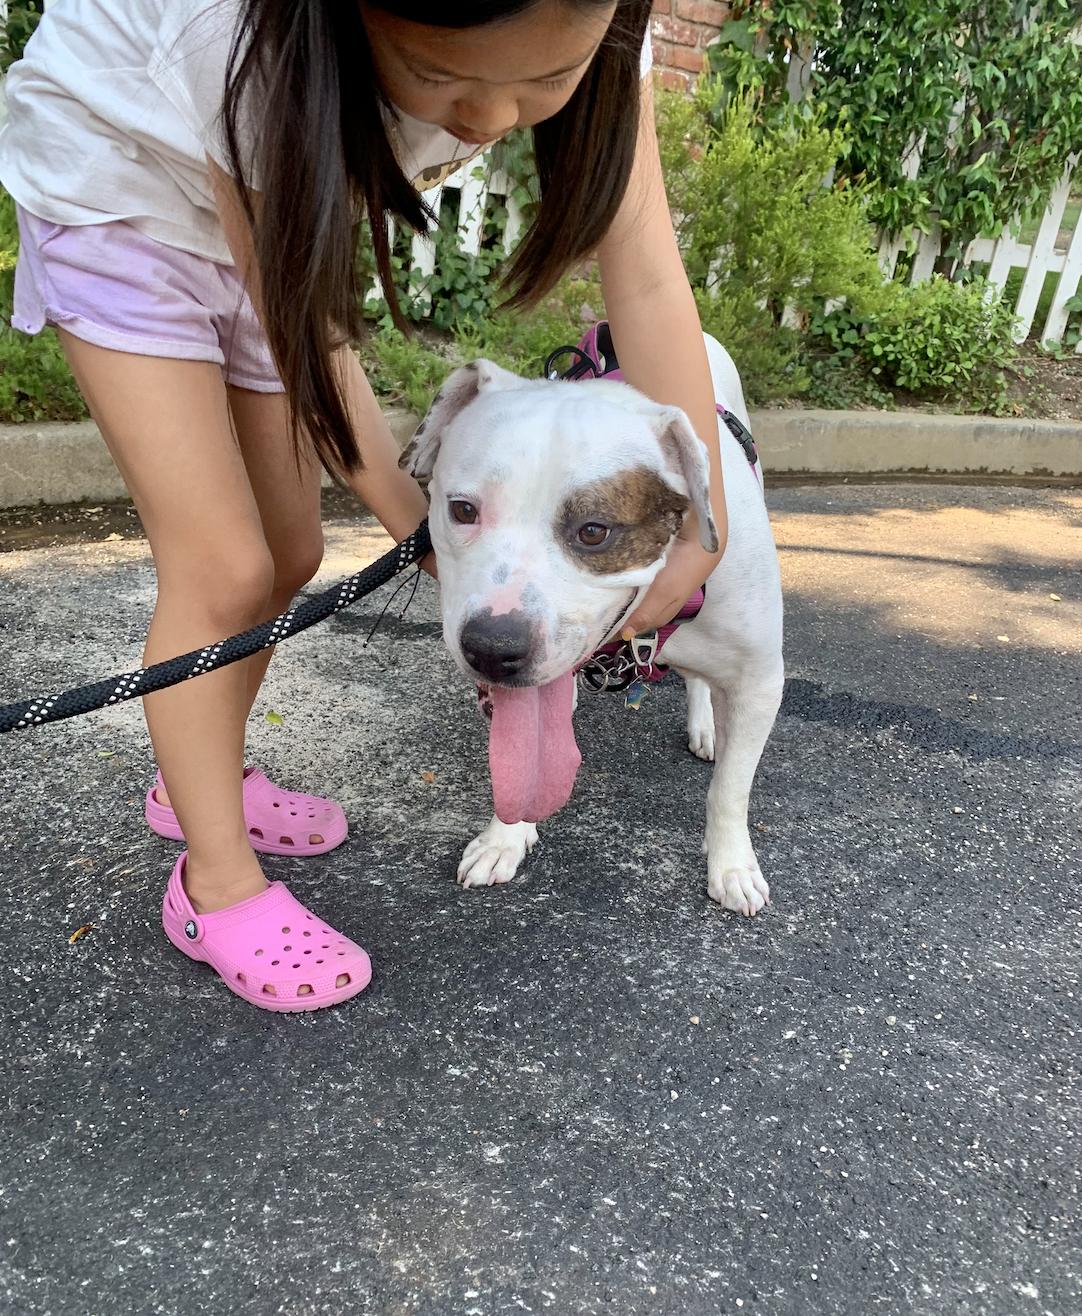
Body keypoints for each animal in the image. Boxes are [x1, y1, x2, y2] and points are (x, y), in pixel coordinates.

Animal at [402, 334, 784, 915]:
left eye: (594, 531)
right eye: (463, 510)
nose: (491, 647)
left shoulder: (761, 681)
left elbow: (731, 790)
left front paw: (733, 866)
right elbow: (520, 764)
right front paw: (504, 838)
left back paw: (705, 726)